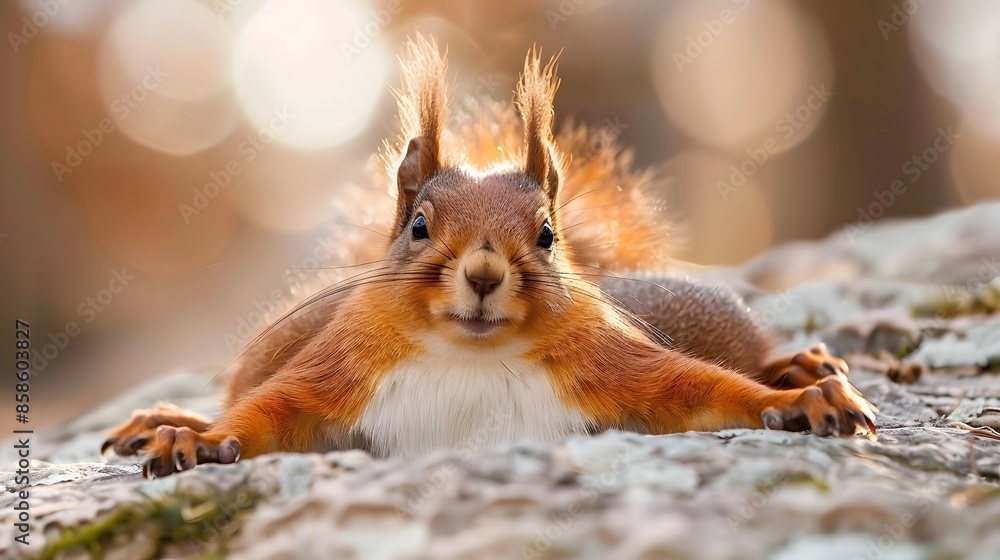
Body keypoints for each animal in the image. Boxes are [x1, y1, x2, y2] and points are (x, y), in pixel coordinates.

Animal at [103, 36, 875, 478]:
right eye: (418, 225)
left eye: (547, 235)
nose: (481, 273)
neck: (468, 360)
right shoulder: (332, 375)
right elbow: (264, 415)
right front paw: (195, 443)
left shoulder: (619, 367)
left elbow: (708, 391)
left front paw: (799, 402)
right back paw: (166, 420)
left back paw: (804, 365)